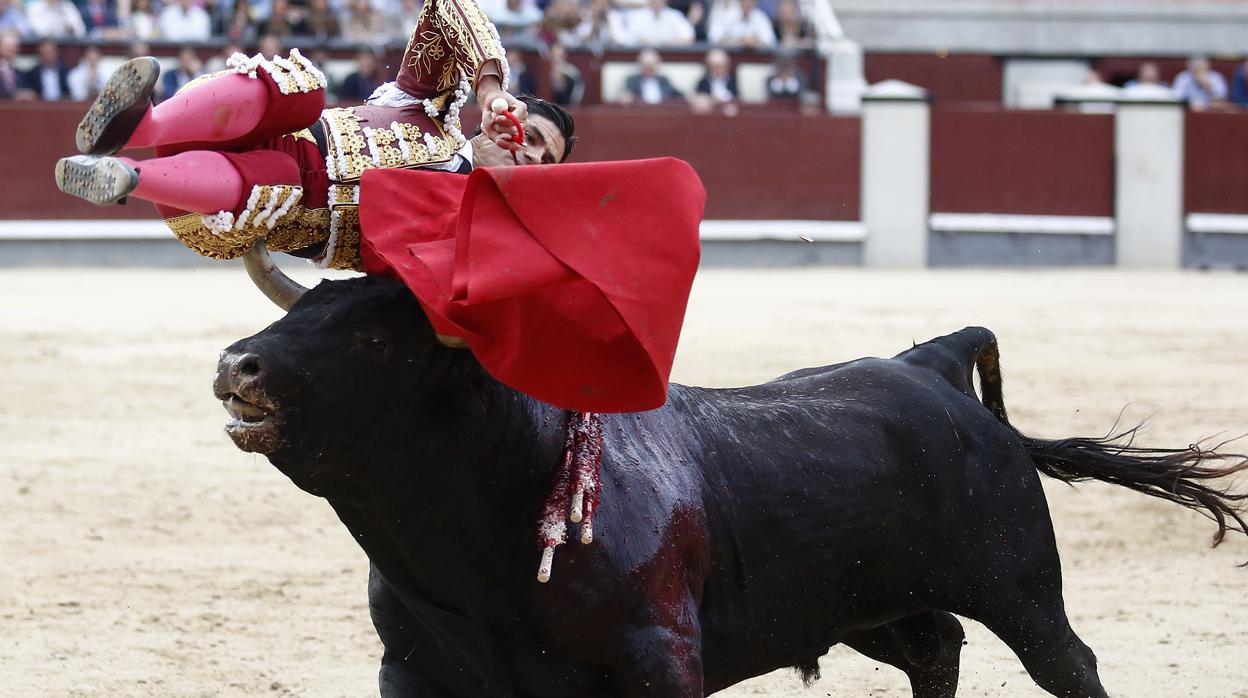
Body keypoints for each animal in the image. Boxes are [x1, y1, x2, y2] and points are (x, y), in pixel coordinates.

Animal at [214, 275, 1248, 694]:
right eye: (306, 305)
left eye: (373, 337)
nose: (237, 365)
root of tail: (928, 363)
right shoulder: (414, 669)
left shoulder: (659, 662)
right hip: (864, 606)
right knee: (936, 649)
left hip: (1020, 585)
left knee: (1067, 663)